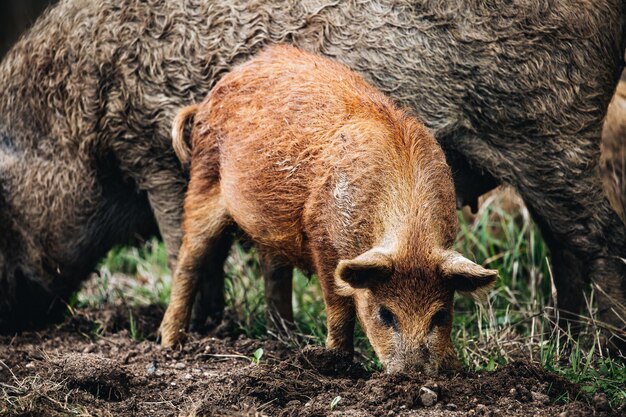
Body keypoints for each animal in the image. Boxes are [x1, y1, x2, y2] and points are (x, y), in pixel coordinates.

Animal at [160, 44, 498, 372]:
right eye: (385, 314)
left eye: (439, 315)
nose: (412, 374)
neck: (409, 233)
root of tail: (207, 100)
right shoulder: (322, 237)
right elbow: (339, 304)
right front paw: (336, 361)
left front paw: (455, 367)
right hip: (203, 182)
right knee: (189, 261)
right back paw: (170, 344)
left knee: (273, 270)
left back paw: (285, 339)